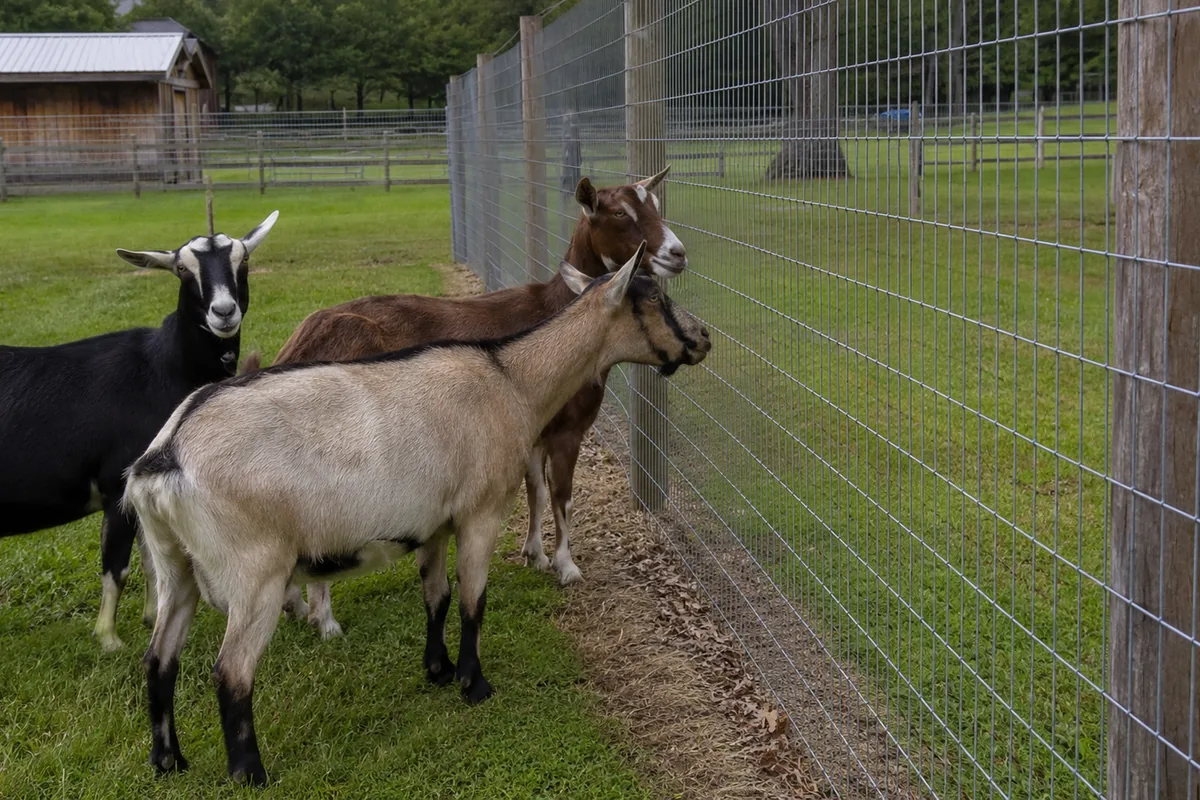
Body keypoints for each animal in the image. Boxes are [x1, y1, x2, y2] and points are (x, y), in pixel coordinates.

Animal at [0, 211, 279, 651]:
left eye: (244, 260)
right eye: (182, 269)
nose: (223, 311)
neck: (159, 366)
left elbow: (153, 559)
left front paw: (152, 616)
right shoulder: (117, 486)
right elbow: (118, 567)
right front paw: (109, 639)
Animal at [124, 244, 711, 785]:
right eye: (654, 298)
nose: (703, 338)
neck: (512, 381)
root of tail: (165, 456)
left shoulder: (433, 524)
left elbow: (438, 596)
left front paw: (438, 670)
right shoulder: (479, 513)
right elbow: (473, 601)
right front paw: (475, 685)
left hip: (175, 565)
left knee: (159, 660)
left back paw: (168, 761)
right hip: (255, 571)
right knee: (232, 672)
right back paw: (250, 773)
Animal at [273, 168, 685, 640]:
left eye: (656, 204)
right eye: (618, 213)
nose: (677, 253)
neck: (562, 311)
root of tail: (302, 339)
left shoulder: (532, 428)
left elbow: (535, 489)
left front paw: (534, 554)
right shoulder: (568, 428)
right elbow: (562, 495)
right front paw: (567, 566)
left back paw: (295, 604)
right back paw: (324, 619)